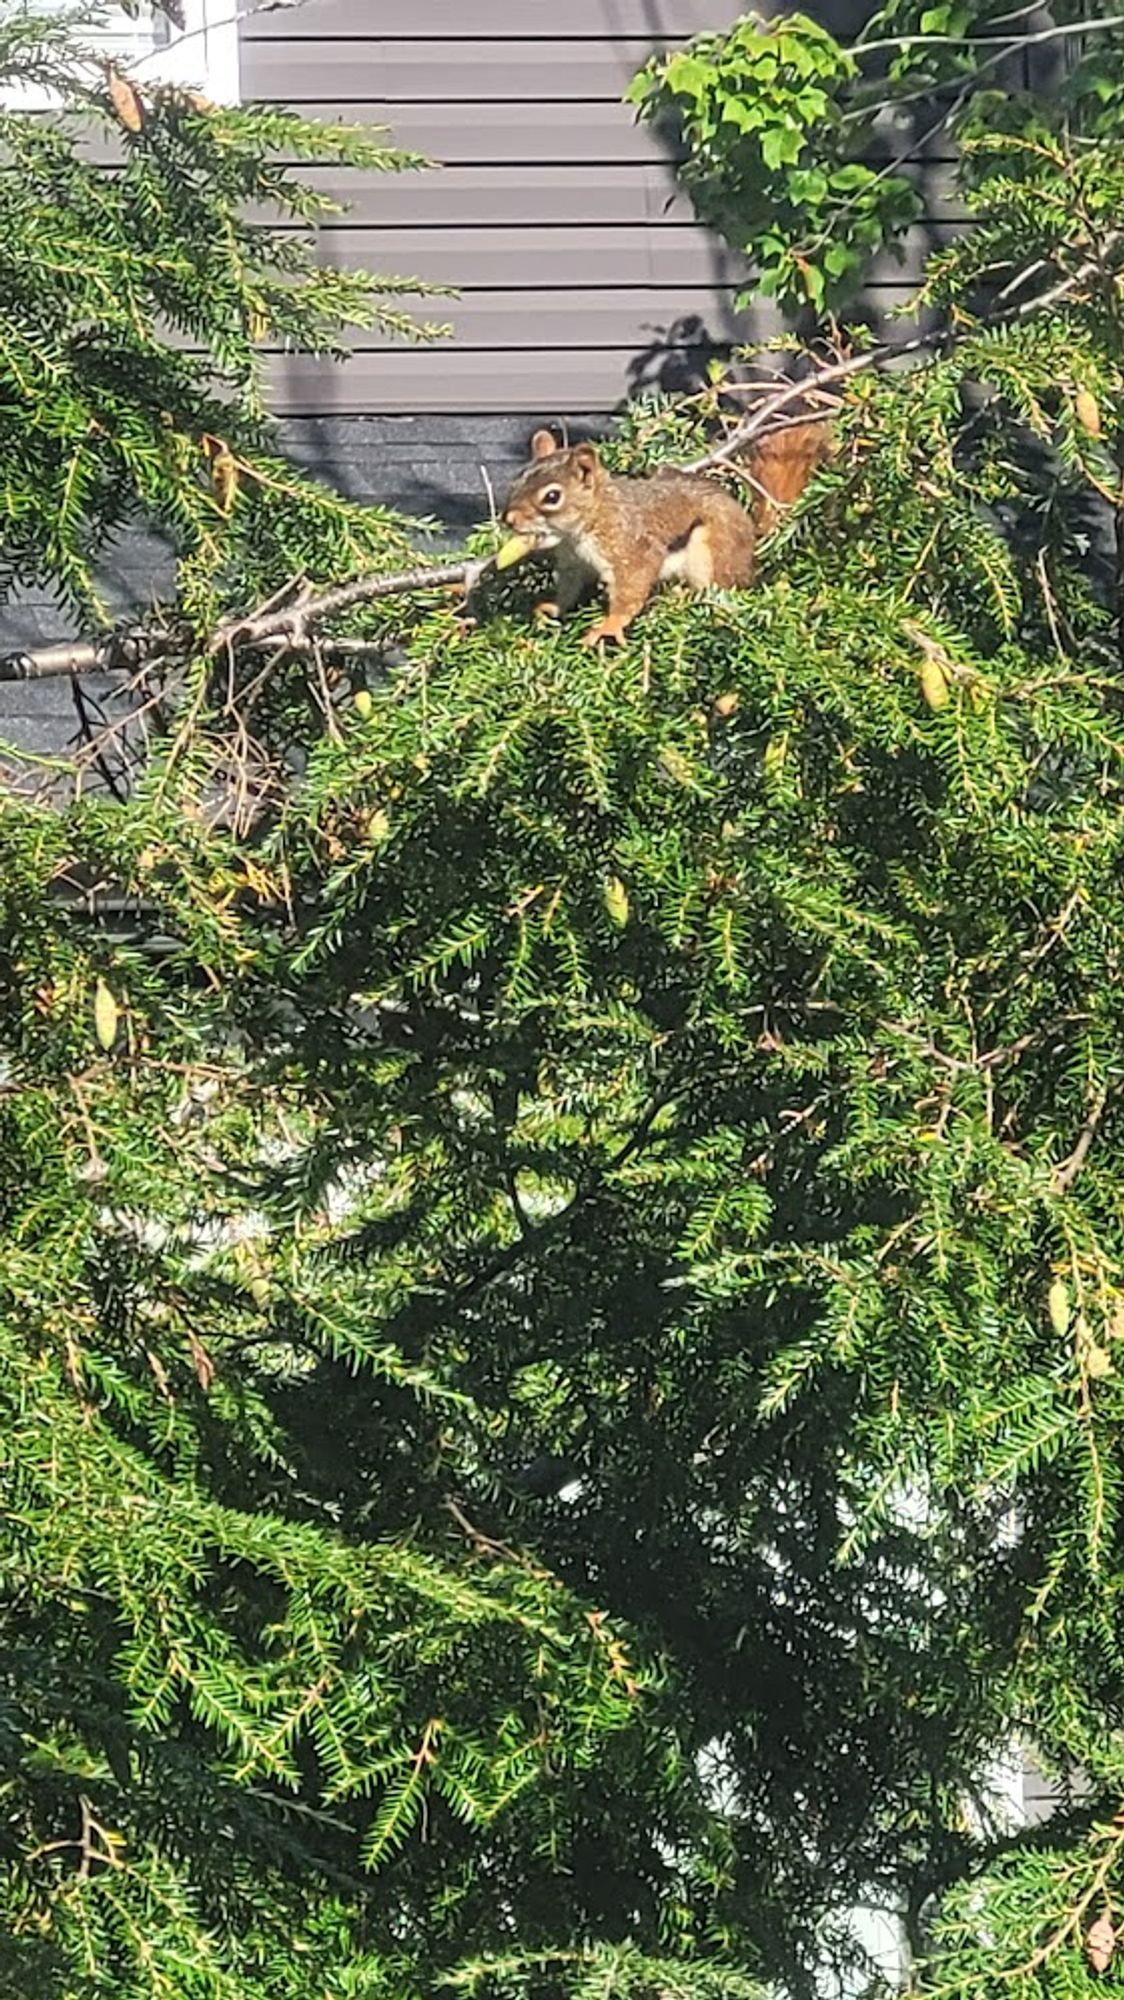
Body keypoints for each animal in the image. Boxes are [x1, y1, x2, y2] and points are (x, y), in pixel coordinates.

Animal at [494, 418, 828, 644]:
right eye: (516, 480)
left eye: (552, 497)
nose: (509, 519)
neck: (587, 525)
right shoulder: (573, 563)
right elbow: (568, 589)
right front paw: (552, 607)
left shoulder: (630, 549)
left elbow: (631, 589)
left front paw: (609, 625)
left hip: (710, 551)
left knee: (719, 591)